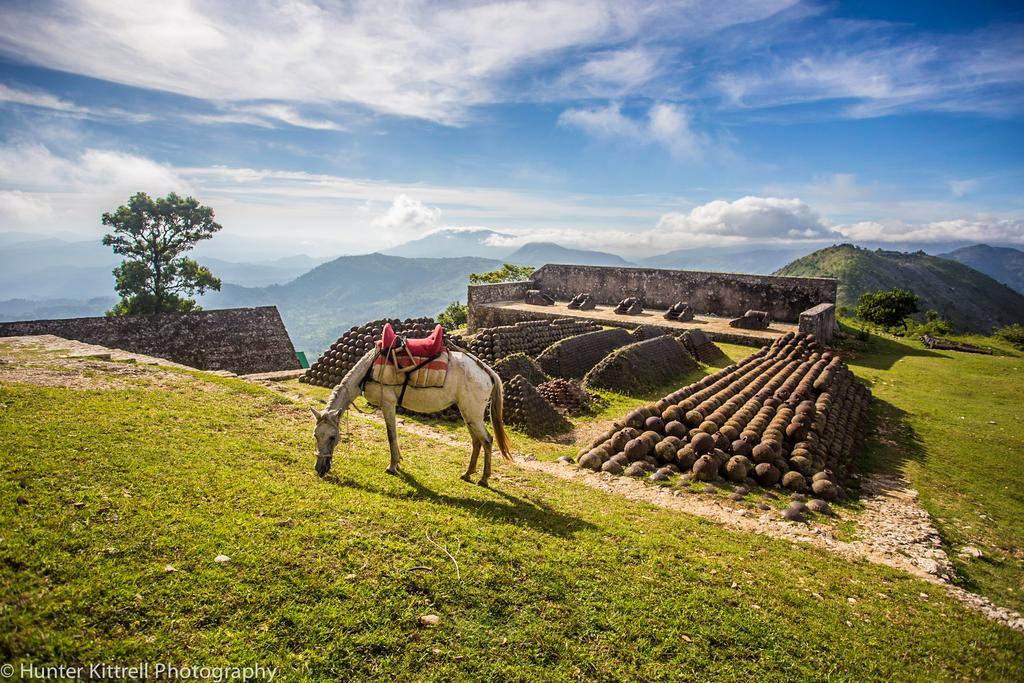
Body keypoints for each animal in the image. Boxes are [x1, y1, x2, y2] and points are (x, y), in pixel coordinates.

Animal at [305, 348, 509, 485]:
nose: (320, 469)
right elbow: (394, 433)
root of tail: (486, 371)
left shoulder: (387, 403)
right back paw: (468, 473)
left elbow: (391, 434)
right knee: (476, 441)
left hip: (472, 413)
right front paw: (399, 462)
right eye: (315, 435)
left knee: (487, 440)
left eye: (333, 437)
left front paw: (392, 466)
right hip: (467, 412)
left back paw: (484, 479)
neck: (369, 368)